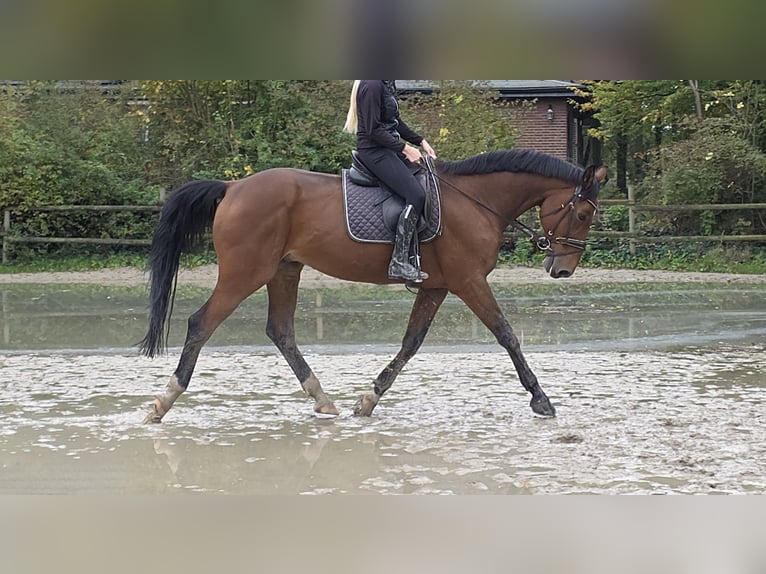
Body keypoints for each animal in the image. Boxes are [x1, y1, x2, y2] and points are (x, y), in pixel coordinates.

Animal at [139, 148, 606, 424]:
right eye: (583, 214)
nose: (563, 270)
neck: (477, 202)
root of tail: (233, 186)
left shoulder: (436, 286)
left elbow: (411, 342)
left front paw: (368, 399)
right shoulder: (469, 281)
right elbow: (506, 335)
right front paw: (541, 399)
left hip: (284, 270)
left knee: (281, 331)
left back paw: (323, 399)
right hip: (245, 273)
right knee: (201, 324)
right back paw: (164, 401)